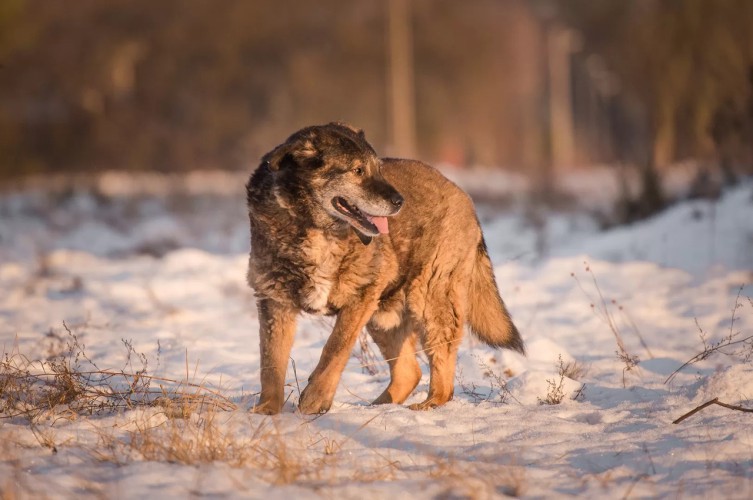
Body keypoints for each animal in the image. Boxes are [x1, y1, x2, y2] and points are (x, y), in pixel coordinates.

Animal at [247, 122, 524, 414]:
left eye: (378, 169)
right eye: (358, 170)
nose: (399, 201)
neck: (316, 227)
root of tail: (461, 194)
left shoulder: (360, 297)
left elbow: (335, 348)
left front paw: (314, 400)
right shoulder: (273, 301)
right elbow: (271, 363)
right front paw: (267, 410)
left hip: (430, 298)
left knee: (441, 369)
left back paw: (427, 404)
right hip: (384, 317)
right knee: (409, 372)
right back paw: (376, 408)